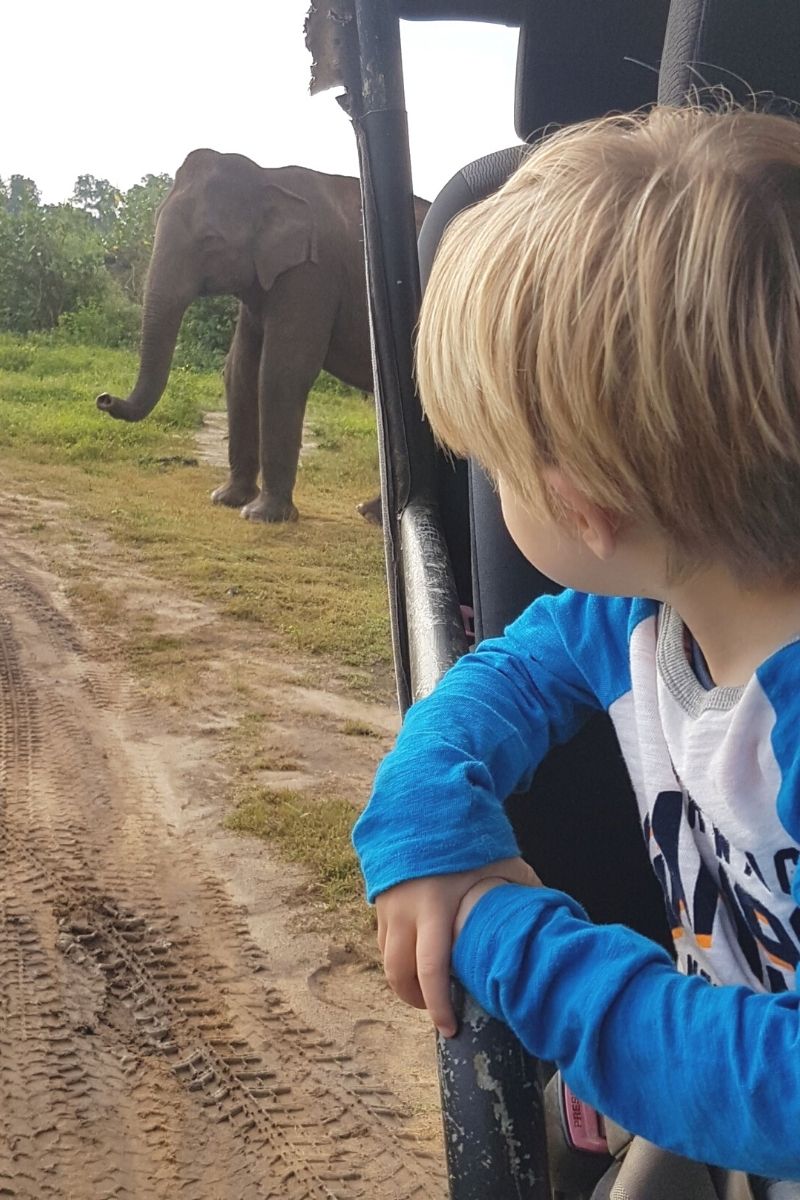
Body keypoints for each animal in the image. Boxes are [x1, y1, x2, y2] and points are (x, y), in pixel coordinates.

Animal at [94, 147, 431, 523]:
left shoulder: (312, 274)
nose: (104, 398)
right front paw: (226, 499)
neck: (270, 178)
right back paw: (370, 513)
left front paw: (261, 515)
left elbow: (282, 373)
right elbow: (239, 370)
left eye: (210, 240)